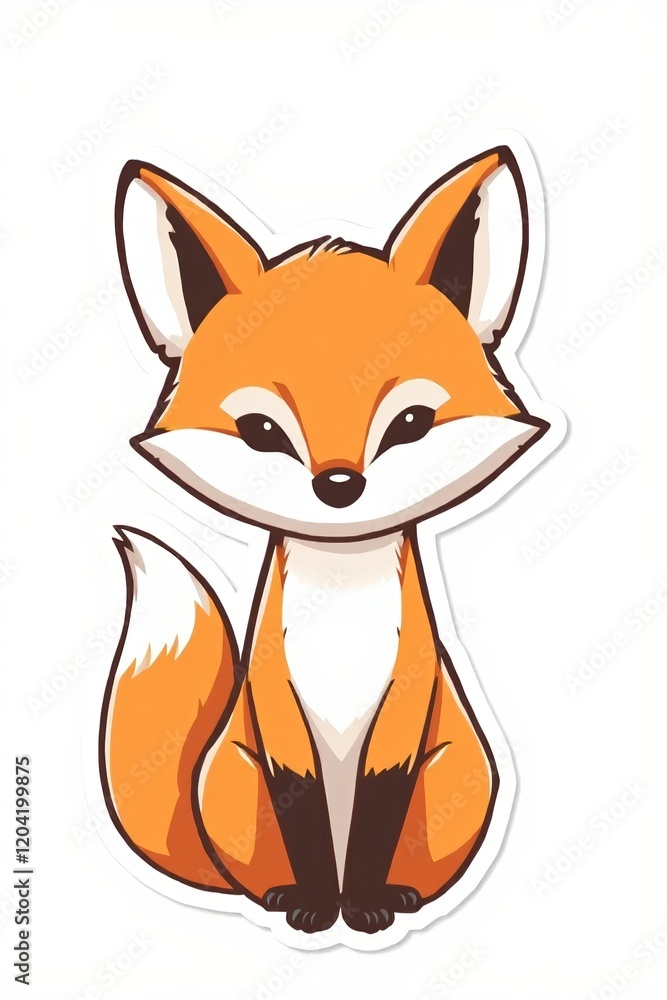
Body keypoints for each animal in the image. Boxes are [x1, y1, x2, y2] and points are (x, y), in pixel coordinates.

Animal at [99, 142, 558, 938]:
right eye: (261, 430)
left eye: (410, 423)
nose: (339, 487)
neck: (341, 615)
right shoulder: (276, 705)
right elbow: (304, 812)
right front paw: (316, 905)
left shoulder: (405, 703)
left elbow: (377, 810)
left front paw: (366, 904)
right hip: (237, 775)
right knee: (257, 875)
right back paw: (281, 896)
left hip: (455, 774)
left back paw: (398, 896)